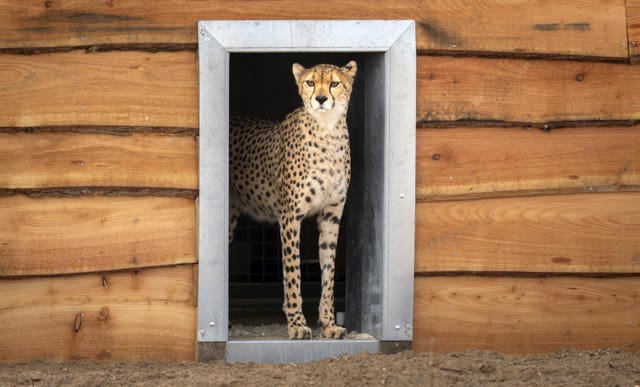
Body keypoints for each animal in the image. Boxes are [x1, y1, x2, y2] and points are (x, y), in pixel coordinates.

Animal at [229, 59, 358, 340]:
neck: (327, 130)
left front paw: (328, 323)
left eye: (334, 83)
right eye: (310, 82)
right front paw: (297, 323)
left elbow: (329, 272)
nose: (320, 99)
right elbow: (292, 271)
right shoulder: (289, 217)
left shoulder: (331, 216)